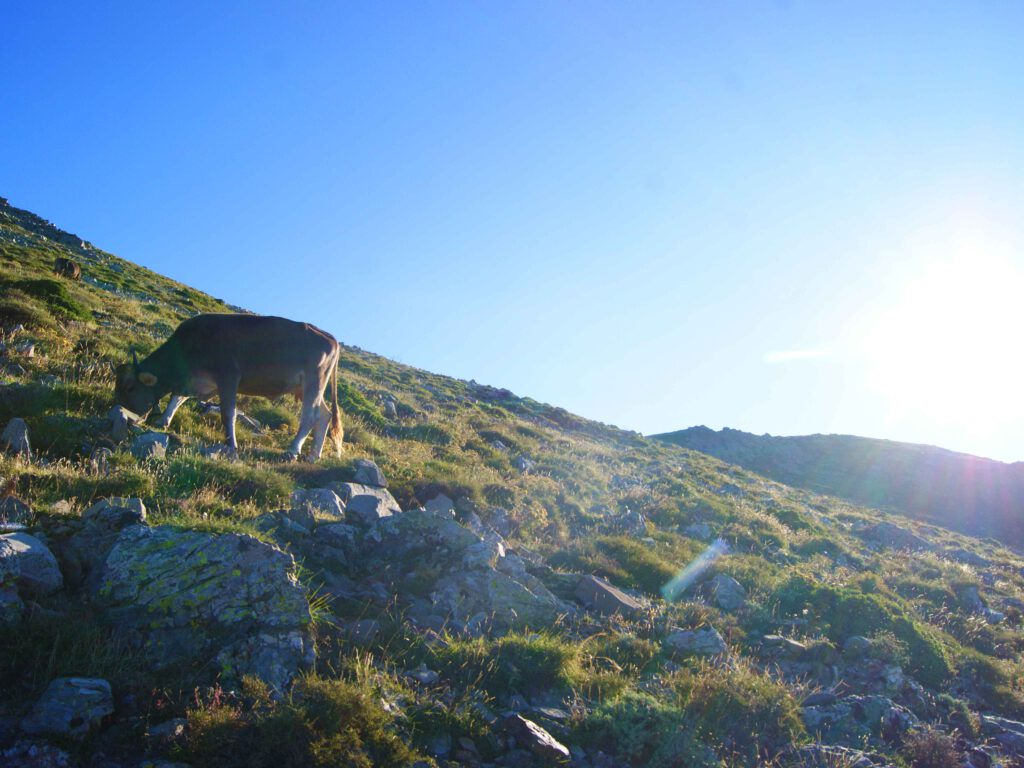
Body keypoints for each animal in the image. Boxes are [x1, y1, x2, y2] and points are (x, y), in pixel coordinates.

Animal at [114, 313, 342, 462]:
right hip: (305, 387)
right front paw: (163, 420)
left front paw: (231, 443)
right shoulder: (197, 381)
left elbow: (228, 413)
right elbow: (176, 397)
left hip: (314, 380)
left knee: (311, 416)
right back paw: (313, 455)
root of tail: (330, 338)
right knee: (325, 415)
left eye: (129, 387)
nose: (122, 411)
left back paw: (293, 450)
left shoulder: (229, 377)